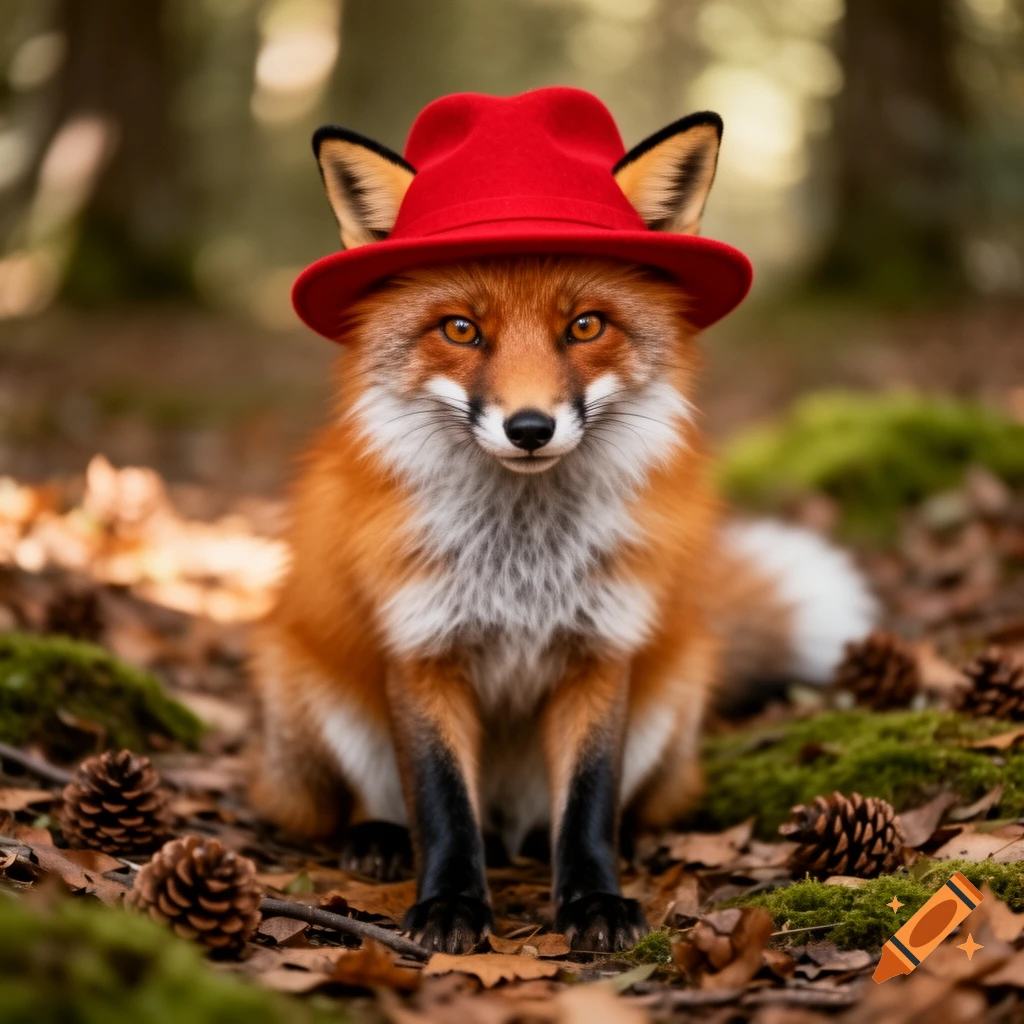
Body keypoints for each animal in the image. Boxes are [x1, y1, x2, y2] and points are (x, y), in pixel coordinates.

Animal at [250, 95, 877, 955]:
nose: (528, 428)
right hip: (309, 684)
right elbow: (442, 806)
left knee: (604, 808)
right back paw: (378, 837)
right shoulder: (422, 650)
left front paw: (594, 901)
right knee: (370, 801)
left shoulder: (600, 653)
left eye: (585, 326)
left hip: (673, 688)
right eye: (460, 329)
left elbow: (588, 804)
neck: (522, 562)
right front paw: (450, 905)